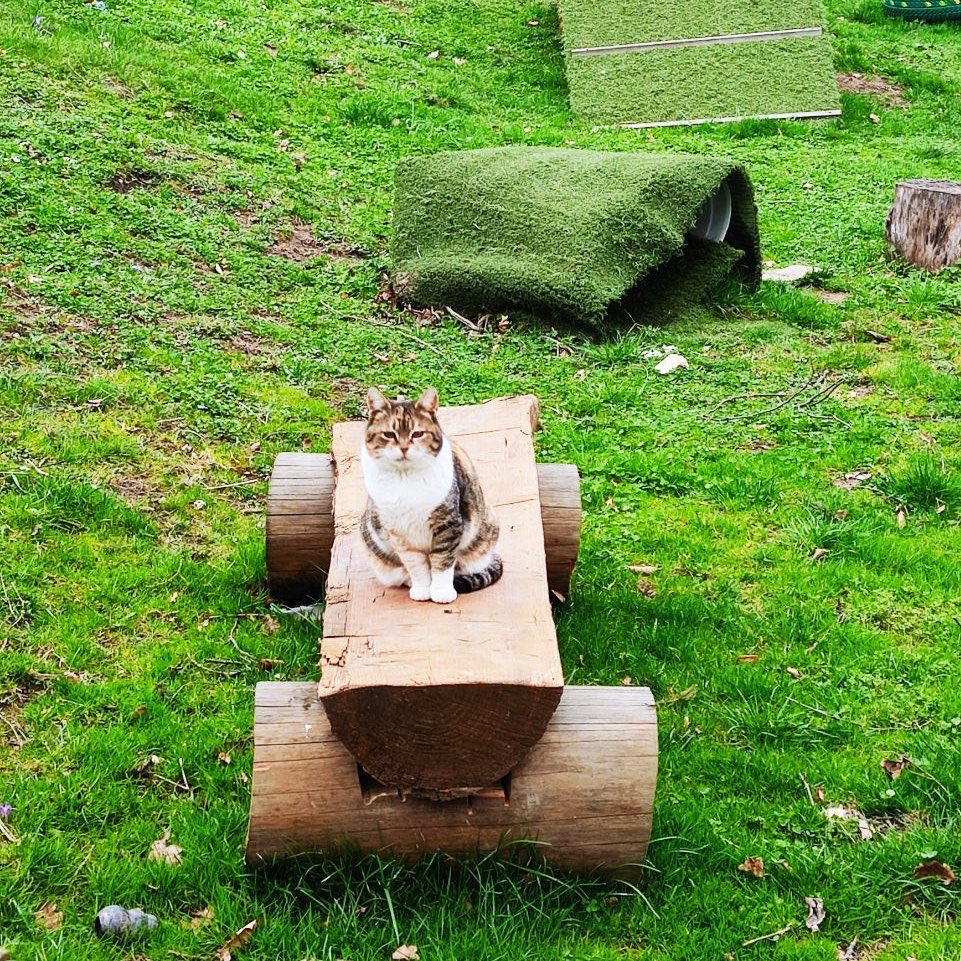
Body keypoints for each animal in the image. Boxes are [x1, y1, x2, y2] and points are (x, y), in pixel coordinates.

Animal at [358, 386, 502, 604]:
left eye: (417, 434)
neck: (405, 479)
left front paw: (441, 591)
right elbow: (416, 565)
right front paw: (422, 588)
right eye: (389, 434)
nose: (403, 448)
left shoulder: (448, 523)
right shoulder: (399, 533)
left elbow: (442, 560)